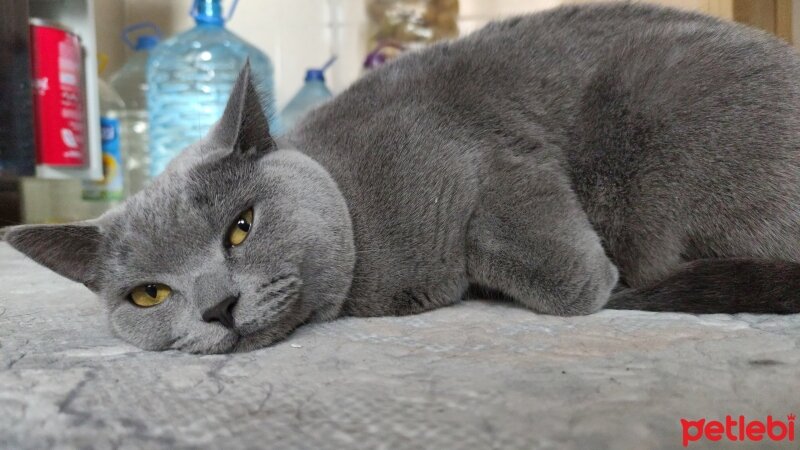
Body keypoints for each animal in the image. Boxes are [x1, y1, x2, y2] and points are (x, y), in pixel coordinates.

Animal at [6, 4, 800, 356]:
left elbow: (560, 276)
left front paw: (586, 280)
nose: (218, 307)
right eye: (149, 295)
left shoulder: (494, 161)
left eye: (240, 228)